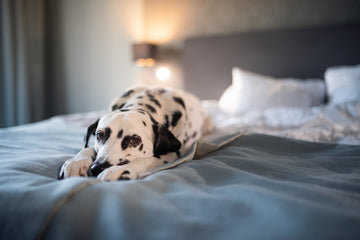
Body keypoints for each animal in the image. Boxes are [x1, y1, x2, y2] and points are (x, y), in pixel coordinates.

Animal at [57, 86, 212, 180]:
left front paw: (120, 170)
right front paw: (77, 162)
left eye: (134, 140)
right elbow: (88, 148)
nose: (97, 168)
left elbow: (149, 159)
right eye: (100, 135)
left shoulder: (173, 153)